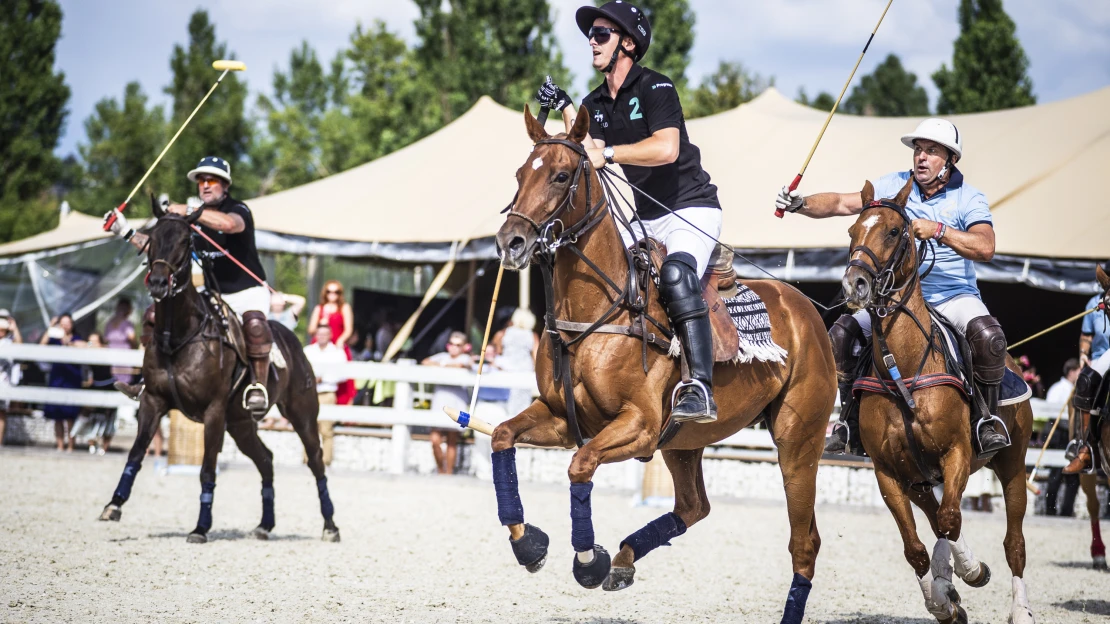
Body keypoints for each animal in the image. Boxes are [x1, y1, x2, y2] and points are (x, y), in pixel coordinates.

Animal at [97, 196, 339, 541]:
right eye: (152, 238)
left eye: (186, 242)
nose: (158, 283)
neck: (181, 335)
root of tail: (294, 339)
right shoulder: (153, 401)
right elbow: (136, 453)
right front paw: (114, 505)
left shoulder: (213, 410)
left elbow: (207, 467)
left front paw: (201, 527)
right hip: (240, 423)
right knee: (266, 459)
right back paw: (265, 524)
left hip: (302, 412)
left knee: (316, 460)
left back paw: (330, 525)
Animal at [486, 105, 834, 621]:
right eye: (518, 174)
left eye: (562, 175)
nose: (510, 243)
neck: (595, 312)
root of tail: (811, 310)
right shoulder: (564, 418)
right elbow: (502, 436)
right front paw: (529, 543)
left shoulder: (640, 425)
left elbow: (580, 465)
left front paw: (588, 560)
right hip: (685, 442)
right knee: (694, 506)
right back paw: (625, 559)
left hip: (798, 439)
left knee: (804, 540)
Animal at [843, 179, 1034, 621]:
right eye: (852, 231)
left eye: (895, 231)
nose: (854, 284)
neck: (904, 370)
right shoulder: (889, 471)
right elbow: (918, 547)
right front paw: (942, 600)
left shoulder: (957, 451)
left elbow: (949, 519)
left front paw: (965, 575)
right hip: (920, 476)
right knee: (939, 520)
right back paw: (952, 580)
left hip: (1011, 462)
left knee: (1011, 541)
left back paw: (1019, 608)